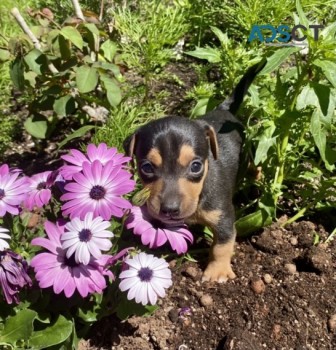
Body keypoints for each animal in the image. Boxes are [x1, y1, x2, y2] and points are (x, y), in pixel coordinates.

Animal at [123, 60, 266, 284]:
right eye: (146, 167)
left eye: (196, 166)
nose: (170, 209)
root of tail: (223, 110)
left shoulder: (223, 216)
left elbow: (222, 245)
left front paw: (217, 272)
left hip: (249, 150)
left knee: (253, 162)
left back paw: (257, 175)